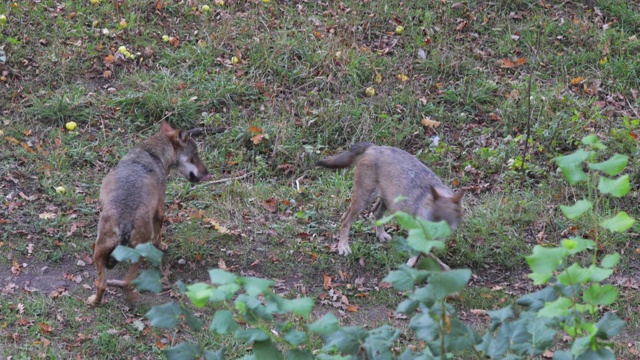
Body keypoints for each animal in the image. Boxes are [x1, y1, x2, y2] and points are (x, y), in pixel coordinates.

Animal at [87, 122, 210, 306]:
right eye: (194, 156)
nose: (206, 173)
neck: (152, 153)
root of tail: (125, 223)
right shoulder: (160, 209)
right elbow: (158, 233)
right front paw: (162, 245)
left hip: (98, 251)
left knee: (102, 284)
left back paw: (94, 302)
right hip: (136, 254)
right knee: (127, 283)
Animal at [316, 142, 462, 260]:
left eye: (445, 223)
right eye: (433, 218)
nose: (433, 236)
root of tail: (374, 147)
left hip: (387, 200)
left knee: (376, 213)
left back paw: (381, 235)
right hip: (363, 200)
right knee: (345, 219)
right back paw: (343, 247)